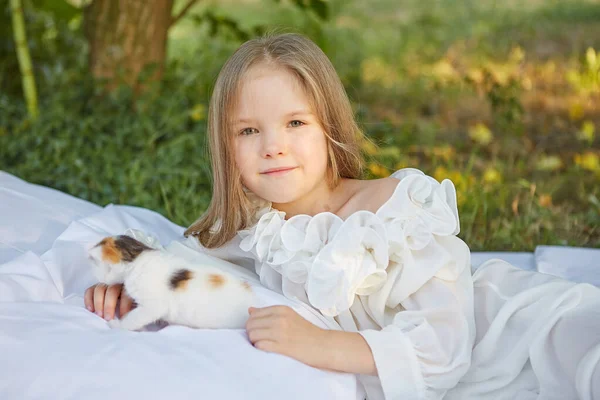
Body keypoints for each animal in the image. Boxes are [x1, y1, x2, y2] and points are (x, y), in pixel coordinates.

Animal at [87, 236, 255, 330]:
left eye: (95, 263)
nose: (95, 276)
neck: (137, 258)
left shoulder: (153, 306)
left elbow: (134, 318)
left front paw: (117, 325)